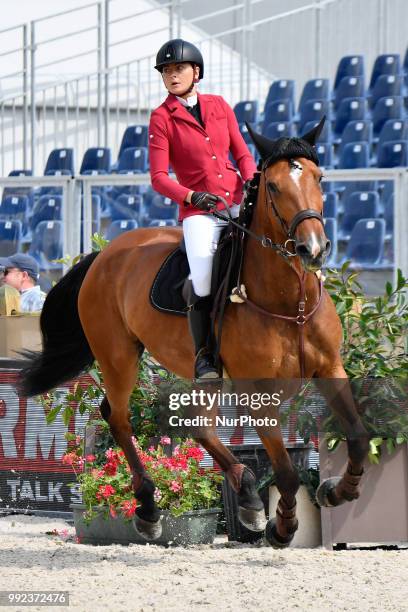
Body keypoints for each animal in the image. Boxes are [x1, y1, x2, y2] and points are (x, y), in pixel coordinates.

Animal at [18, 117, 370, 548]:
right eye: (273, 186)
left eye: (319, 178)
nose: (313, 249)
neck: (292, 304)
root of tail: (104, 255)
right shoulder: (257, 392)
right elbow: (287, 472)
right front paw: (282, 527)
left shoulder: (331, 369)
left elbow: (357, 437)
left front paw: (337, 490)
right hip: (118, 356)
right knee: (118, 418)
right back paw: (150, 509)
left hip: (202, 373)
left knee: (197, 424)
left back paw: (245, 493)